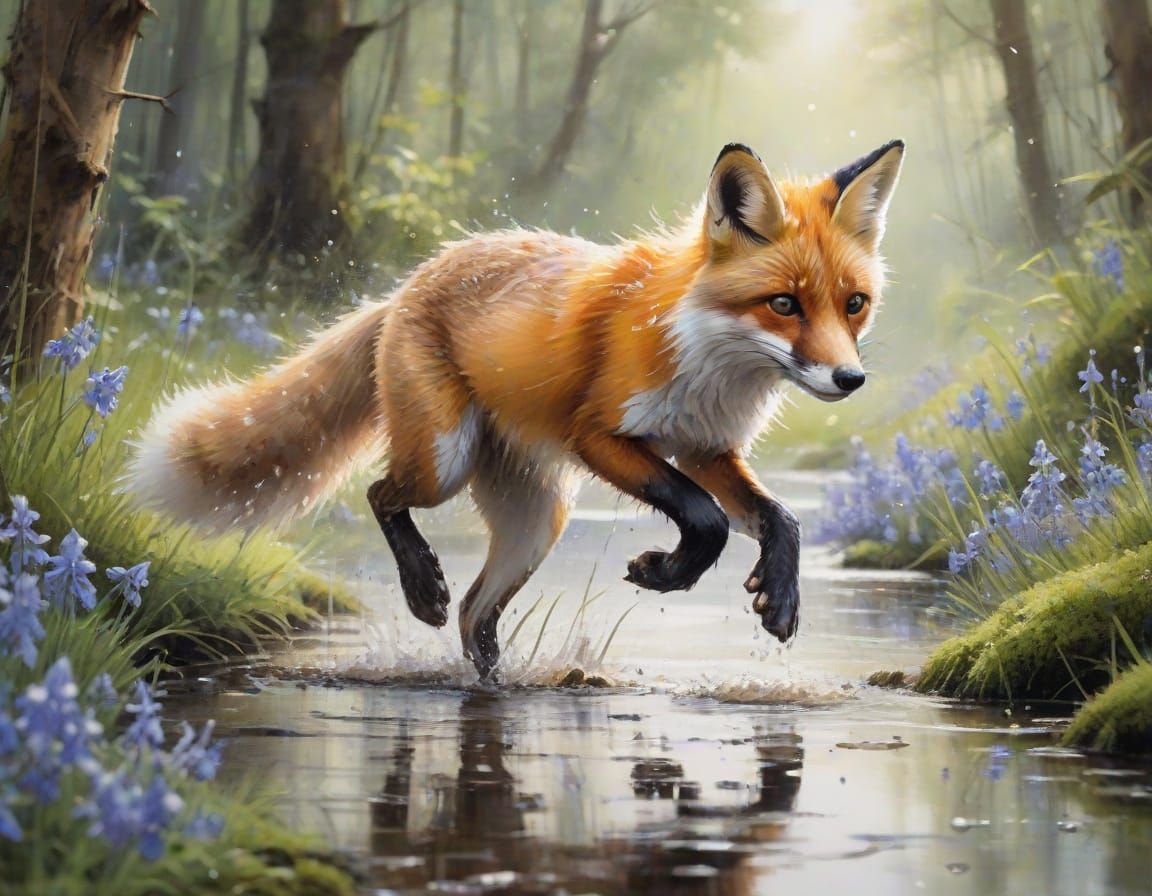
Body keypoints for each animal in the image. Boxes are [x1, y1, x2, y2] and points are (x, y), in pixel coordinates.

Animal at [128, 139, 904, 680]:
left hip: (537, 522)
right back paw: (422, 588)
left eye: (854, 304)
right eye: (784, 304)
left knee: (476, 616)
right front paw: (666, 572)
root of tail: (409, 282)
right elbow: (706, 520)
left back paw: (495, 683)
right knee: (382, 495)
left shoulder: (706, 449)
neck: (705, 356)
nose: (850, 378)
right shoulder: (602, 435)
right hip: (444, 460)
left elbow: (781, 517)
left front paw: (780, 595)